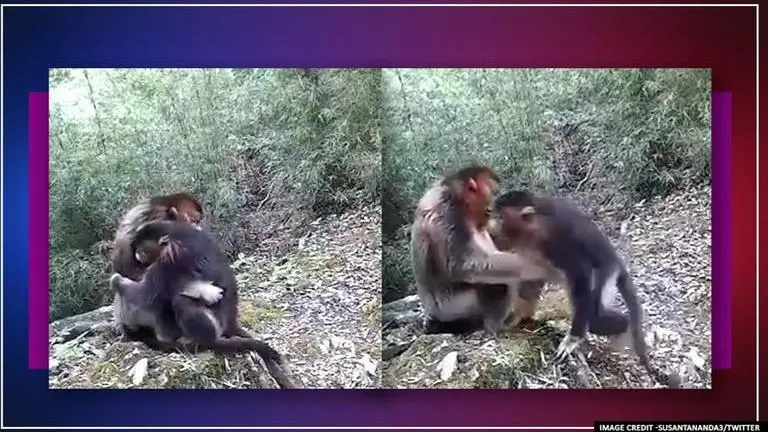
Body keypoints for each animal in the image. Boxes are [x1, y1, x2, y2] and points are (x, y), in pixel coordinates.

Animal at [109, 219, 296, 389]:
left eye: (142, 249)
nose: (138, 255)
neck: (174, 234)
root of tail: (230, 320)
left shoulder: (169, 259)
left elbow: (146, 294)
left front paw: (116, 280)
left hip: (216, 321)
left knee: (179, 299)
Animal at [410, 165, 554, 336]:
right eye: (492, 191)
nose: (491, 207)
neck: (454, 192)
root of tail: (433, 315)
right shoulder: (448, 211)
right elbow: (464, 264)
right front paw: (536, 266)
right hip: (453, 308)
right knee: (499, 282)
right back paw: (499, 325)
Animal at [490, 189, 681, 388]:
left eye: (501, 217)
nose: (494, 225)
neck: (534, 226)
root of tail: (617, 263)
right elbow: (530, 278)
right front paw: (516, 318)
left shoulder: (557, 240)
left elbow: (581, 274)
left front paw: (572, 340)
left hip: (605, 273)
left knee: (593, 313)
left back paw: (623, 324)